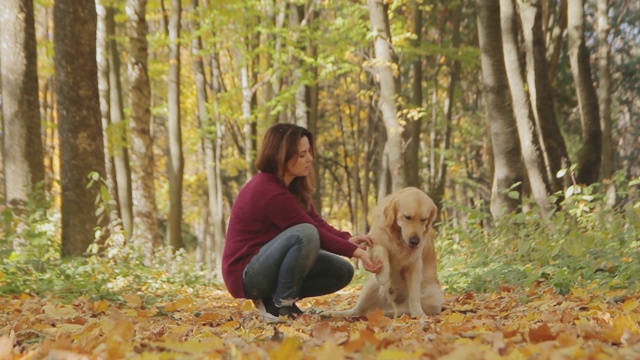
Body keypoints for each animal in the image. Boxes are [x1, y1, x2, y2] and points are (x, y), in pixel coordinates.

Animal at [332, 187, 442, 316]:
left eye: (424, 220)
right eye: (407, 217)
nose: (415, 241)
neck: (398, 239)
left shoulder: (415, 263)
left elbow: (414, 295)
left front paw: (419, 314)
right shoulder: (373, 241)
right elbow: (382, 250)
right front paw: (384, 274)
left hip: (433, 295)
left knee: (402, 308)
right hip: (371, 286)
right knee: (356, 311)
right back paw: (331, 313)